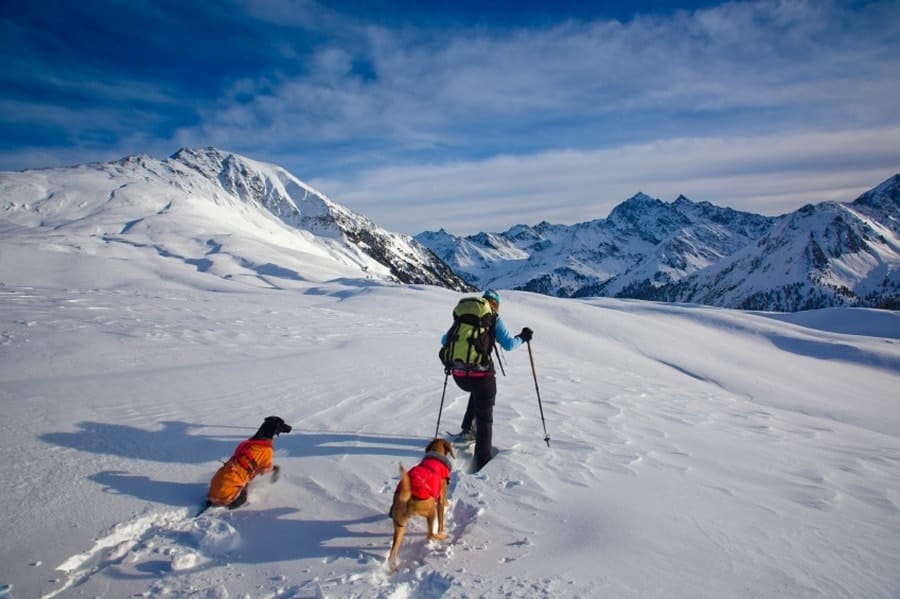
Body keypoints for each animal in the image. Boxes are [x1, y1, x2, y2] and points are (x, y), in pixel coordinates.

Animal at [388, 436, 458, 572]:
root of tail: (406, 496)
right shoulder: (440, 500)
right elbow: (441, 521)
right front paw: (442, 531)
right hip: (431, 511)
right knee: (430, 535)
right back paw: (442, 537)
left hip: (399, 526)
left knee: (392, 552)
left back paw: (394, 567)